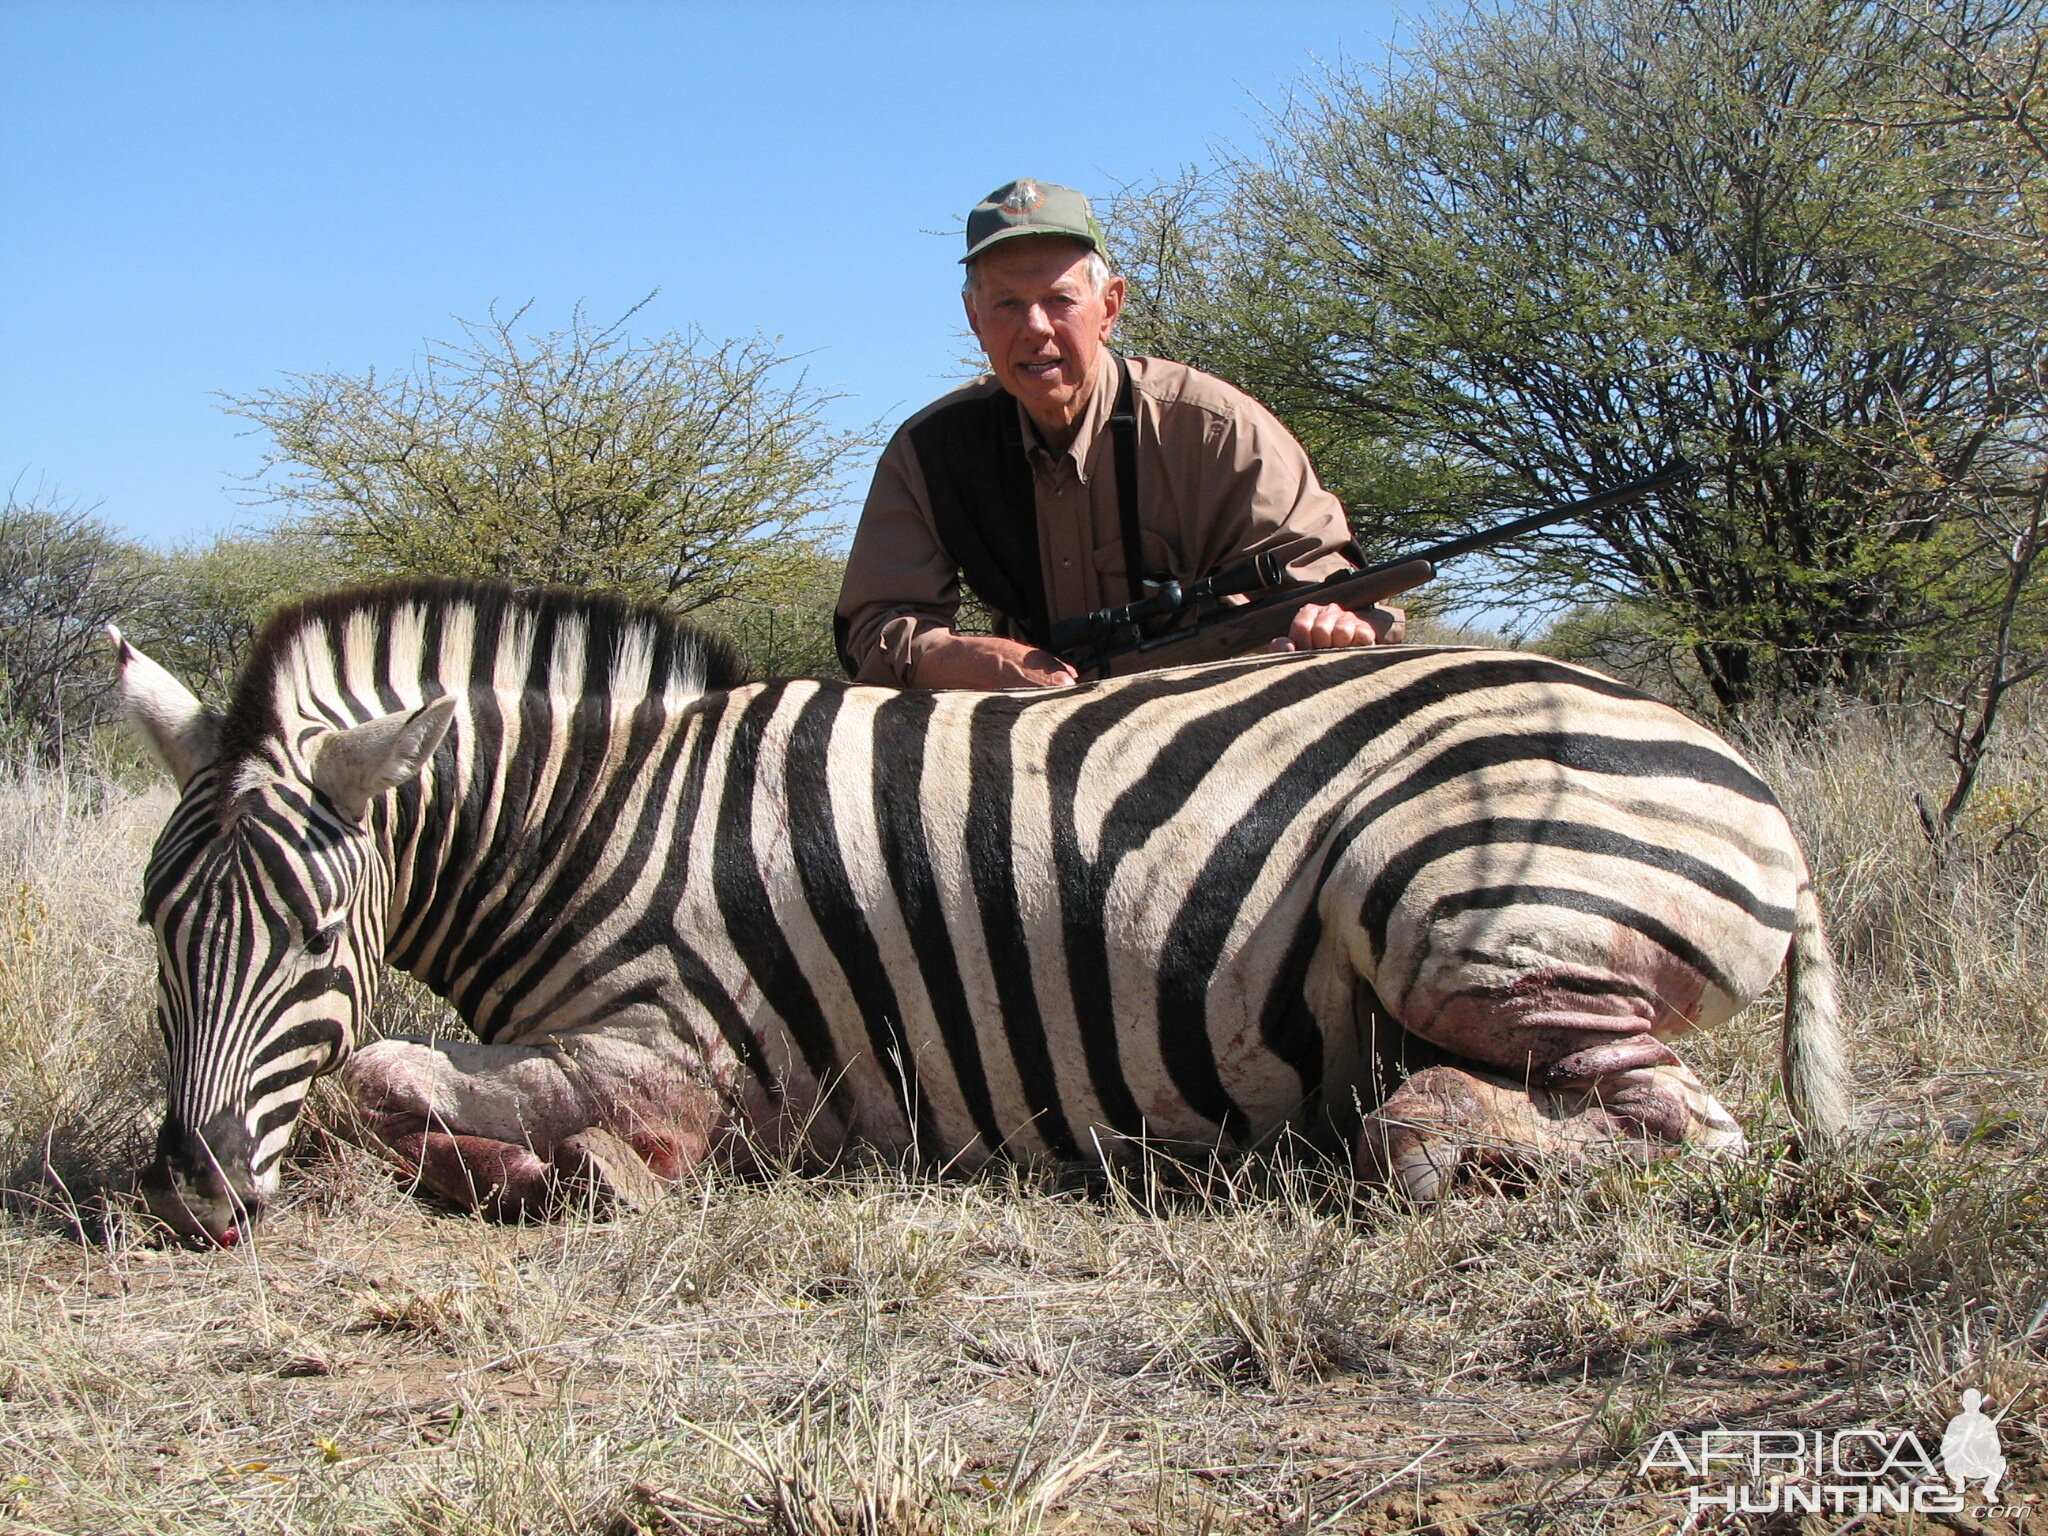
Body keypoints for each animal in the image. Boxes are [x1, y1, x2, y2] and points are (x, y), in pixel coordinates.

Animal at [108, 581, 1843, 1245]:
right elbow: (386, 1083)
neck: (605, 820)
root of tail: (1739, 772)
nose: (190, 1194)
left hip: (1463, 917)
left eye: (312, 938)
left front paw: (578, 1172)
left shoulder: (682, 1048)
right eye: (154, 929)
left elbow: (382, 1077)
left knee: (1678, 1139)